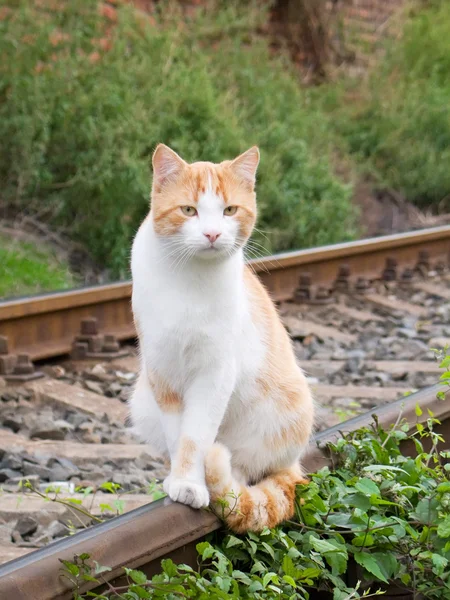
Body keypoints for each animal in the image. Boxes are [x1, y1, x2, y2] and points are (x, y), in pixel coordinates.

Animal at [128, 144, 314, 528]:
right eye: (188, 210)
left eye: (229, 210)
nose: (212, 234)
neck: (190, 278)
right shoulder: (162, 372)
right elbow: (177, 437)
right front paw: (182, 481)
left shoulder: (214, 374)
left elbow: (196, 436)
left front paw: (192, 482)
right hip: (141, 402)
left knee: (249, 465)